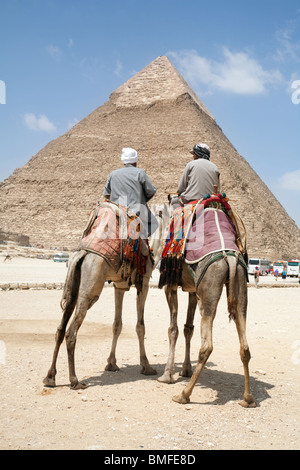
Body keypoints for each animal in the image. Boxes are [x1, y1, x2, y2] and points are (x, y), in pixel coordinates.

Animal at [43, 202, 169, 390]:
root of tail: (83, 253)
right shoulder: (144, 283)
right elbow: (140, 326)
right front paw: (146, 366)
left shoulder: (119, 286)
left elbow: (117, 325)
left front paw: (111, 363)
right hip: (91, 290)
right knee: (71, 331)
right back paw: (75, 380)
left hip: (73, 287)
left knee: (60, 329)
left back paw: (50, 377)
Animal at [157, 202, 255, 408]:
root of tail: (230, 257)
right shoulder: (193, 290)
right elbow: (188, 328)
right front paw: (185, 370)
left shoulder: (170, 285)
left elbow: (173, 328)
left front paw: (167, 375)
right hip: (240, 284)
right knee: (244, 345)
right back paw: (248, 399)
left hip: (210, 287)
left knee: (207, 346)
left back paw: (183, 395)